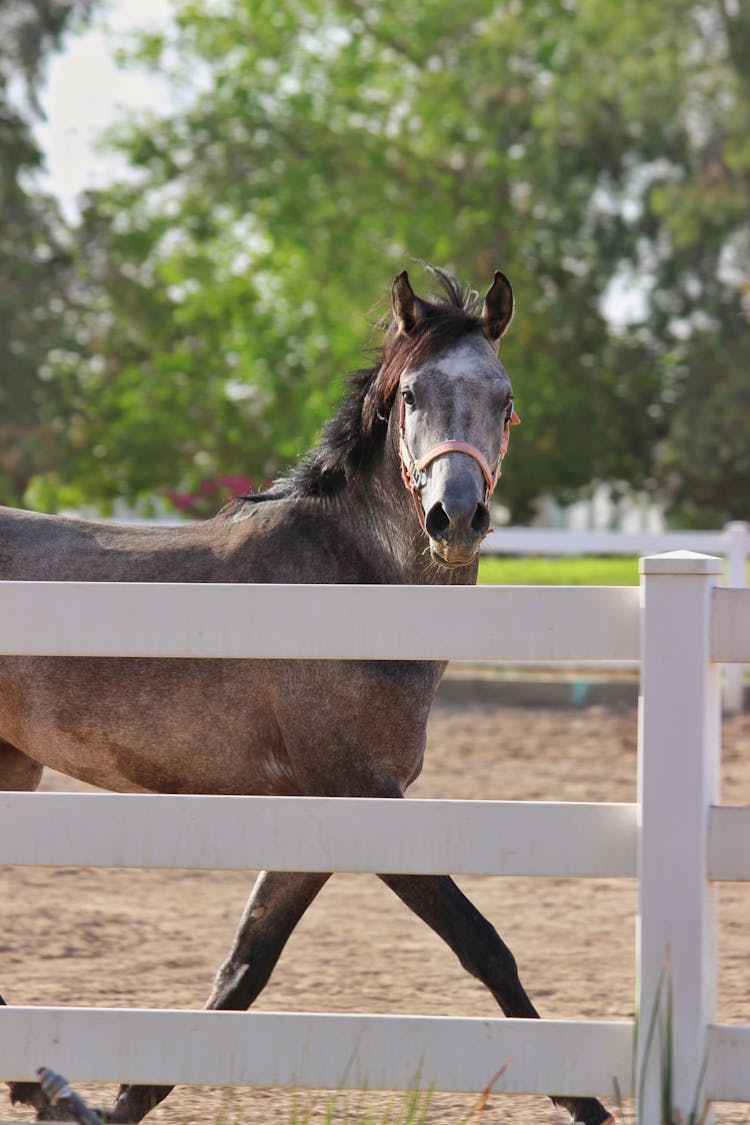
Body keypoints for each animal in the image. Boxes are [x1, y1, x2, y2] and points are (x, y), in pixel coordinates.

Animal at [0, 265, 611, 1125]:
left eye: (505, 397)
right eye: (412, 393)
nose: (455, 515)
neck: (344, 588)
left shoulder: (316, 812)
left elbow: (243, 968)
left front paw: (116, 1100)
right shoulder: (360, 795)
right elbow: (483, 943)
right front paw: (586, 1099)